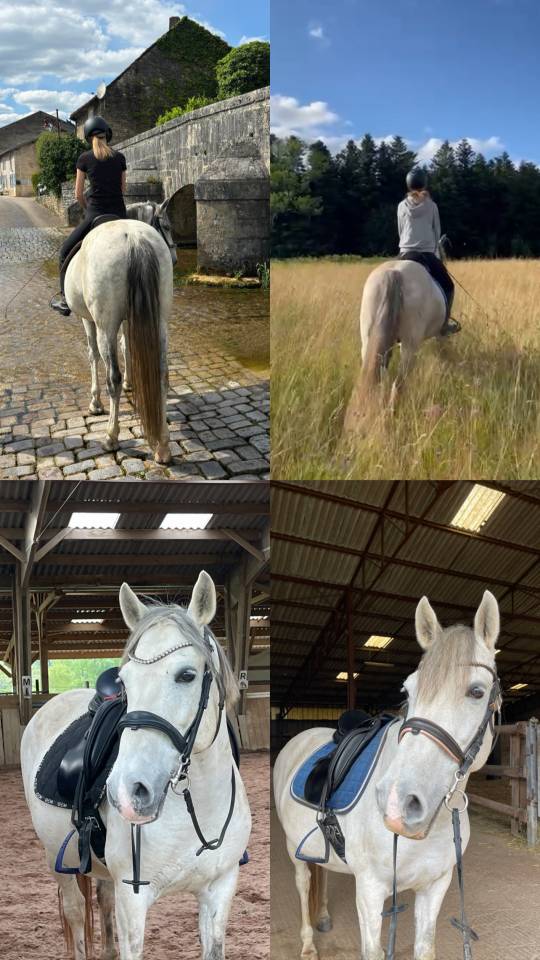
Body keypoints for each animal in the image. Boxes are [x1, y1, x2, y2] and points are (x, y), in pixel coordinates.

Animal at [21, 571, 251, 960]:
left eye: (187, 675)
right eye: (124, 682)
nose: (128, 792)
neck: (197, 809)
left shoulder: (220, 889)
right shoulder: (133, 899)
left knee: (102, 901)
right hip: (57, 858)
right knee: (75, 914)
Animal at [64, 199, 177, 464]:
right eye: (166, 226)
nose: (176, 258)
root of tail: (134, 238)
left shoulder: (89, 320)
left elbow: (93, 355)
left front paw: (95, 402)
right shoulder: (130, 318)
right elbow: (128, 346)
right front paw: (130, 383)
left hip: (105, 326)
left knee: (111, 377)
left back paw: (111, 437)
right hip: (160, 323)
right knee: (162, 375)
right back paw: (163, 446)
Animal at [273, 591, 501, 960]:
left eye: (477, 692)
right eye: (407, 692)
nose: (397, 803)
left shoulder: (435, 885)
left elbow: (425, 947)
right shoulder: (370, 891)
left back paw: (323, 917)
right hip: (294, 848)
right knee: (303, 883)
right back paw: (308, 943)